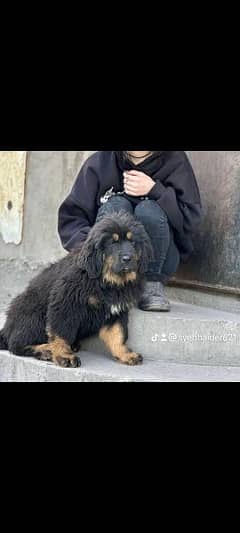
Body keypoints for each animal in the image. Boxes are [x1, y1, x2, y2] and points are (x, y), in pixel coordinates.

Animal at [0, 210, 153, 368]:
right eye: (112, 242)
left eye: (133, 242)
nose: (127, 258)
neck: (107, 281)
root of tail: (6, 328)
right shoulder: (65, 304)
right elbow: (61, 334)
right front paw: (64, 356)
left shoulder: (116, 311)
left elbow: (118, 334)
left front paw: (125, 354)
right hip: (33, 315)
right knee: (16, 344)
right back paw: (46, 350)